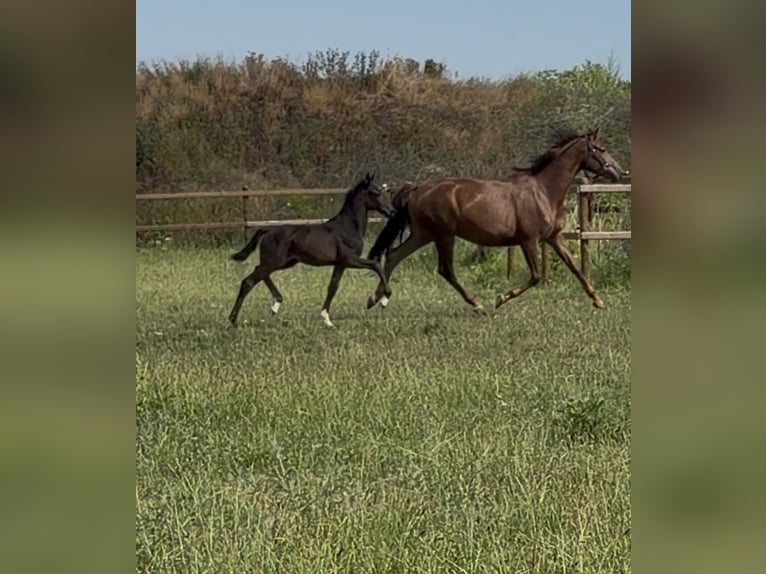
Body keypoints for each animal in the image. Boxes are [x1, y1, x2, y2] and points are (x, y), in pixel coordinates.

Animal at [228, 173, 395, 327]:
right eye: (375, 193)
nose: (391, 211)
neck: (348, 227)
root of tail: (268, 230)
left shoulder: (340, 264)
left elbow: (333, 287)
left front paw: (326, 319)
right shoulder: (350, 260)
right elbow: (376, 265)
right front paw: (378, 299)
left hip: (284, 262)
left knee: (259, 272)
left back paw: (276, 304)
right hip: (274, 262)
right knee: (249, 281)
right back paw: (234, 320)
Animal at [365, 127, 626, 312]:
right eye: (601, 148)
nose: (618, 172)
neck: (543, 191)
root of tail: (417, 188)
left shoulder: (553, 238)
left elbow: (575, 268)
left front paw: (598, 300)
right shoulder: (529, 241)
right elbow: (535, 276)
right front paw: (500, 298)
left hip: (424, 233)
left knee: (394, 255)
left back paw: (377, 298)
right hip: (442, 235)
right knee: (445, 270)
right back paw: (477, 304)